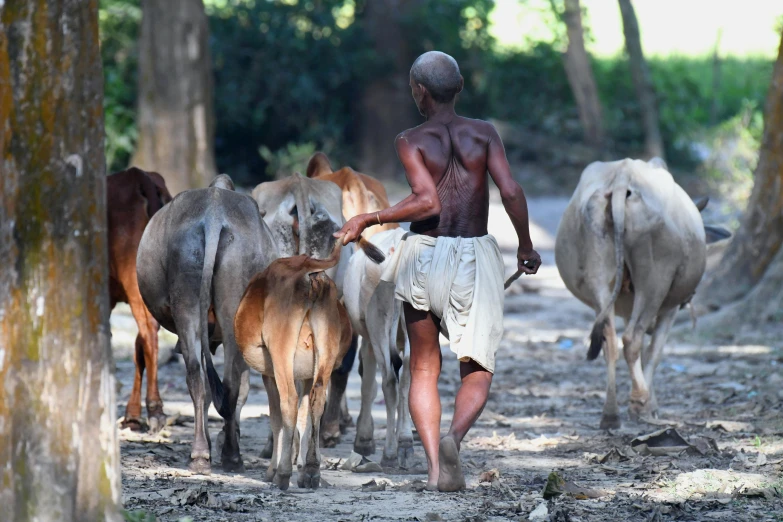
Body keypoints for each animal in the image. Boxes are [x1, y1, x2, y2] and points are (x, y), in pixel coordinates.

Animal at [138, 174, 278, 472]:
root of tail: (214, 215)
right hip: (231, 306)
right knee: (230, 383)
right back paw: (231, 455)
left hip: (188, 302)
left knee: (198, 377)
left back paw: (201, 453)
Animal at [234, 236, 384, 488]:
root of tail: (307, 269)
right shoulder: (304, 374)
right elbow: (305, 417)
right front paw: (304, 467)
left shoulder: (269, 373)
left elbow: (277, 419)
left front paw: (273, 470)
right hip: (324, 353)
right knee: (317, 399)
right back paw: (312, 471)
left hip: (281, 352)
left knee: (289, 403)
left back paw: (283, 474)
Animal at [344, 225, 416, 466]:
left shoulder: (368, 340)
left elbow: (368, 385)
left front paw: (364, 439)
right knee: (406, 378)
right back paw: (405, 443)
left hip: (377, 326)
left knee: (389, 381)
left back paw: (390, 453)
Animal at [556, 158, 732, 426]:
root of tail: (622, 177)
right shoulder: (670, 309)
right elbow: (654, 354)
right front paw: (650, 406)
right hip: (654, 280)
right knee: (632, 339)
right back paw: (639, 399)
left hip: (599, 280)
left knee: (609, 340)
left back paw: (610, 414)